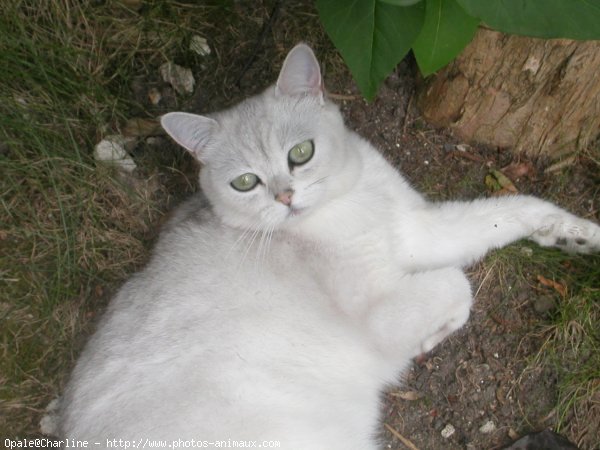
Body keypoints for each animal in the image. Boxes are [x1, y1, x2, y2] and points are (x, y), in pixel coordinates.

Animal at [54, 44, 596, 448]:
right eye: (245, 183)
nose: (285, 197)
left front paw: (574, 233)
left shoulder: (420, 229)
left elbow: (508, 211)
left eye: (301, 153)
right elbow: (457, 285)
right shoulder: (383, 304)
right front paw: (431, 337)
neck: (348, 204)